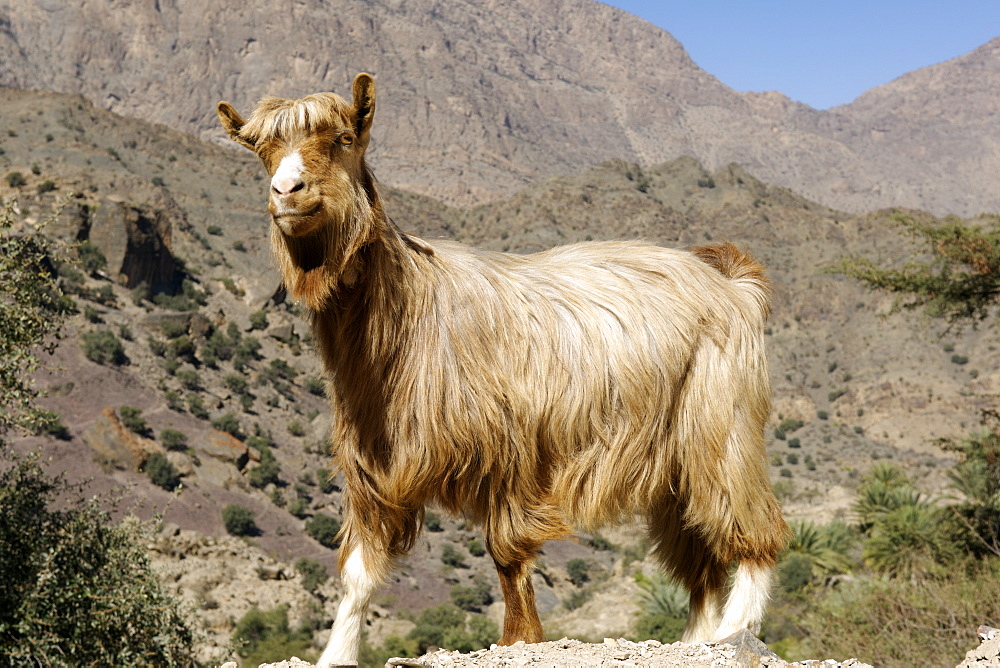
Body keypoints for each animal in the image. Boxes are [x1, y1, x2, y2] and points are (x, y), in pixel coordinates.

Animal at [219, 74, 788, 668]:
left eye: (344, 138)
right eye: (262, 150)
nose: (288, 191)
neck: (415, 311)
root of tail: (734, 285)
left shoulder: (510, 451)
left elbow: (507, 552)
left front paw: (520, 638)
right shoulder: (373, 466)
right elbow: (359, 568)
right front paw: (337, 653)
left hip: (721, 422)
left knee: (752, 525)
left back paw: (735, 629)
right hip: (674, 460)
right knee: (698, 555)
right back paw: (697, 639)